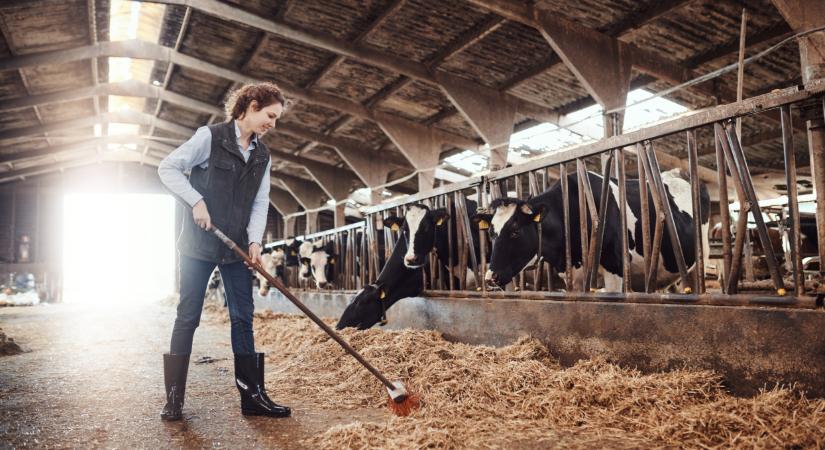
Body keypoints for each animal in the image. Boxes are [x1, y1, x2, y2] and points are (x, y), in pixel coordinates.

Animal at [474, 169, 712, 292]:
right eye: (492, 233)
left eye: (515, 231)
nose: (490, 277)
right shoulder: (575, 276)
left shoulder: (615, 268)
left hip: (695, 266)